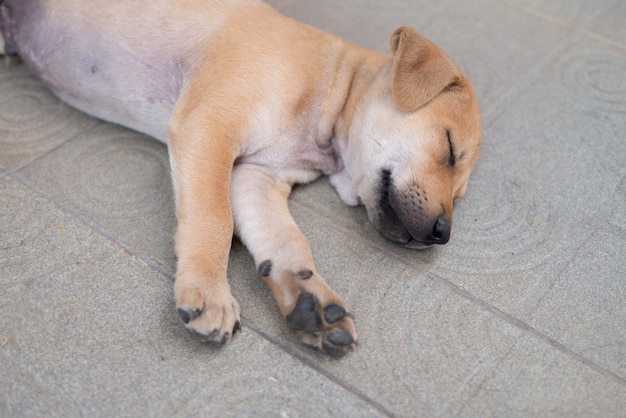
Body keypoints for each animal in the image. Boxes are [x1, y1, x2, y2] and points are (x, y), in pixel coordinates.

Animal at [0, 0, 480, 360]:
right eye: (449, 147)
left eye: (460, 192)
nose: (442, 233)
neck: (329, 86)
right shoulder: (209, 125)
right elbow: (214, 219)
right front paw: (207, 290)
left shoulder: (256, 177)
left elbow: (286, 240)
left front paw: (311, 299)